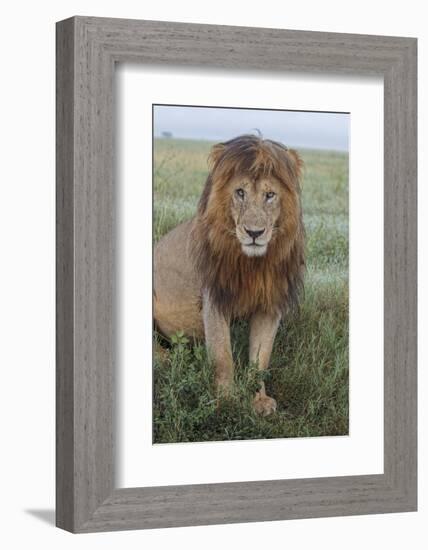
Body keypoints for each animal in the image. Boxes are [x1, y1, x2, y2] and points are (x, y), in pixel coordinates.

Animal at [154, 136, 304, 416]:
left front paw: (259, 400)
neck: (253, 264)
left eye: (270, 195)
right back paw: (168, 359)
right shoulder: (214, 298)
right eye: (240, 192)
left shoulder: (269, 304)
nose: (254, 233)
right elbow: (222, 356)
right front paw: (226, 402)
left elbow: (261, 357)